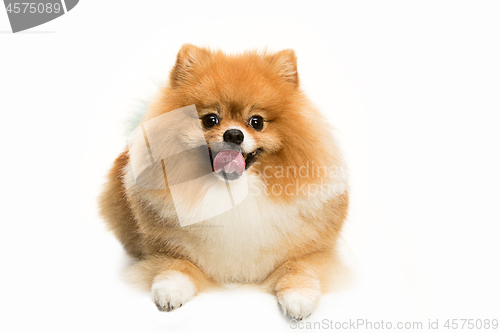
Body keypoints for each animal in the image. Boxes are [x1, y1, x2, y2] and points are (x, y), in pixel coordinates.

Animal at [97, 44, 348, 320]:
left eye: (256, 122)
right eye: (210, 119)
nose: (234, 134)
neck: (233, 192)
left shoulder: (314, 252)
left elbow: (298, 266)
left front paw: (299, 296)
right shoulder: (161, 247)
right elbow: (177, 263)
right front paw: (171, 289)